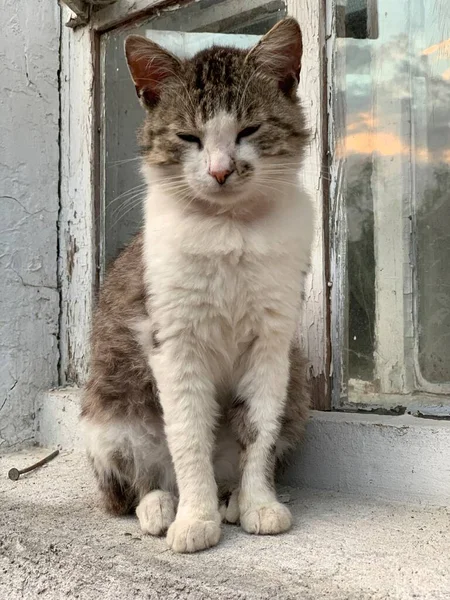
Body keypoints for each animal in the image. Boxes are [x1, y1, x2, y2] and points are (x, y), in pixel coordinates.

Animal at [81, 17, 312, 552]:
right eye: (188, 136)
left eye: (249, 129)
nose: (220, 170)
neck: (229, 229)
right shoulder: (173, 341)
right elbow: (188, 435)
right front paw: (195, 519)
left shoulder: (272, 343)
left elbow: (258, 428)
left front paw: (259, 504)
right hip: (107, 416)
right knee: (130, 485)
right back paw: (161, 505)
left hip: (299, 387)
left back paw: (231, 498)